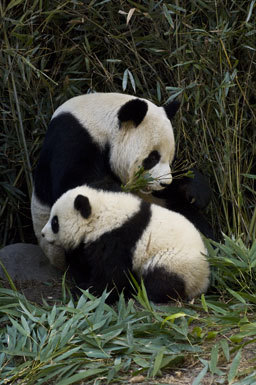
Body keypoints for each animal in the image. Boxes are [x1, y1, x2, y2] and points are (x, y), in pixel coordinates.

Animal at [42, 184, 210, 304]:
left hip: (176, 262)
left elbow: (112, 275)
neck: (99, 214)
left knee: (160, 280)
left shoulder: (118, 239)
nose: (43, 234)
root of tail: (203, 282)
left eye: (55, 222)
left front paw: (87, 292)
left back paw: (139, 292)